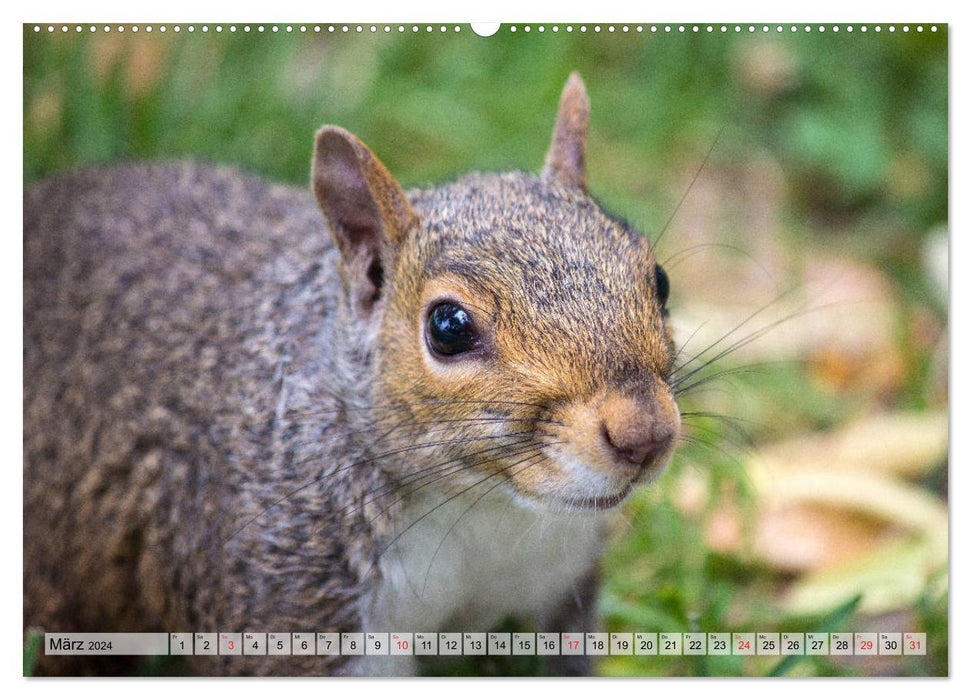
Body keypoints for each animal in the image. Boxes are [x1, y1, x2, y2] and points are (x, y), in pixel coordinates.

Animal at [20, 74, 676, 676]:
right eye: (449, 327)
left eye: (660, 280)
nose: (644, 434)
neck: (484, 509)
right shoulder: (292, 611)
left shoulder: (557, 590)